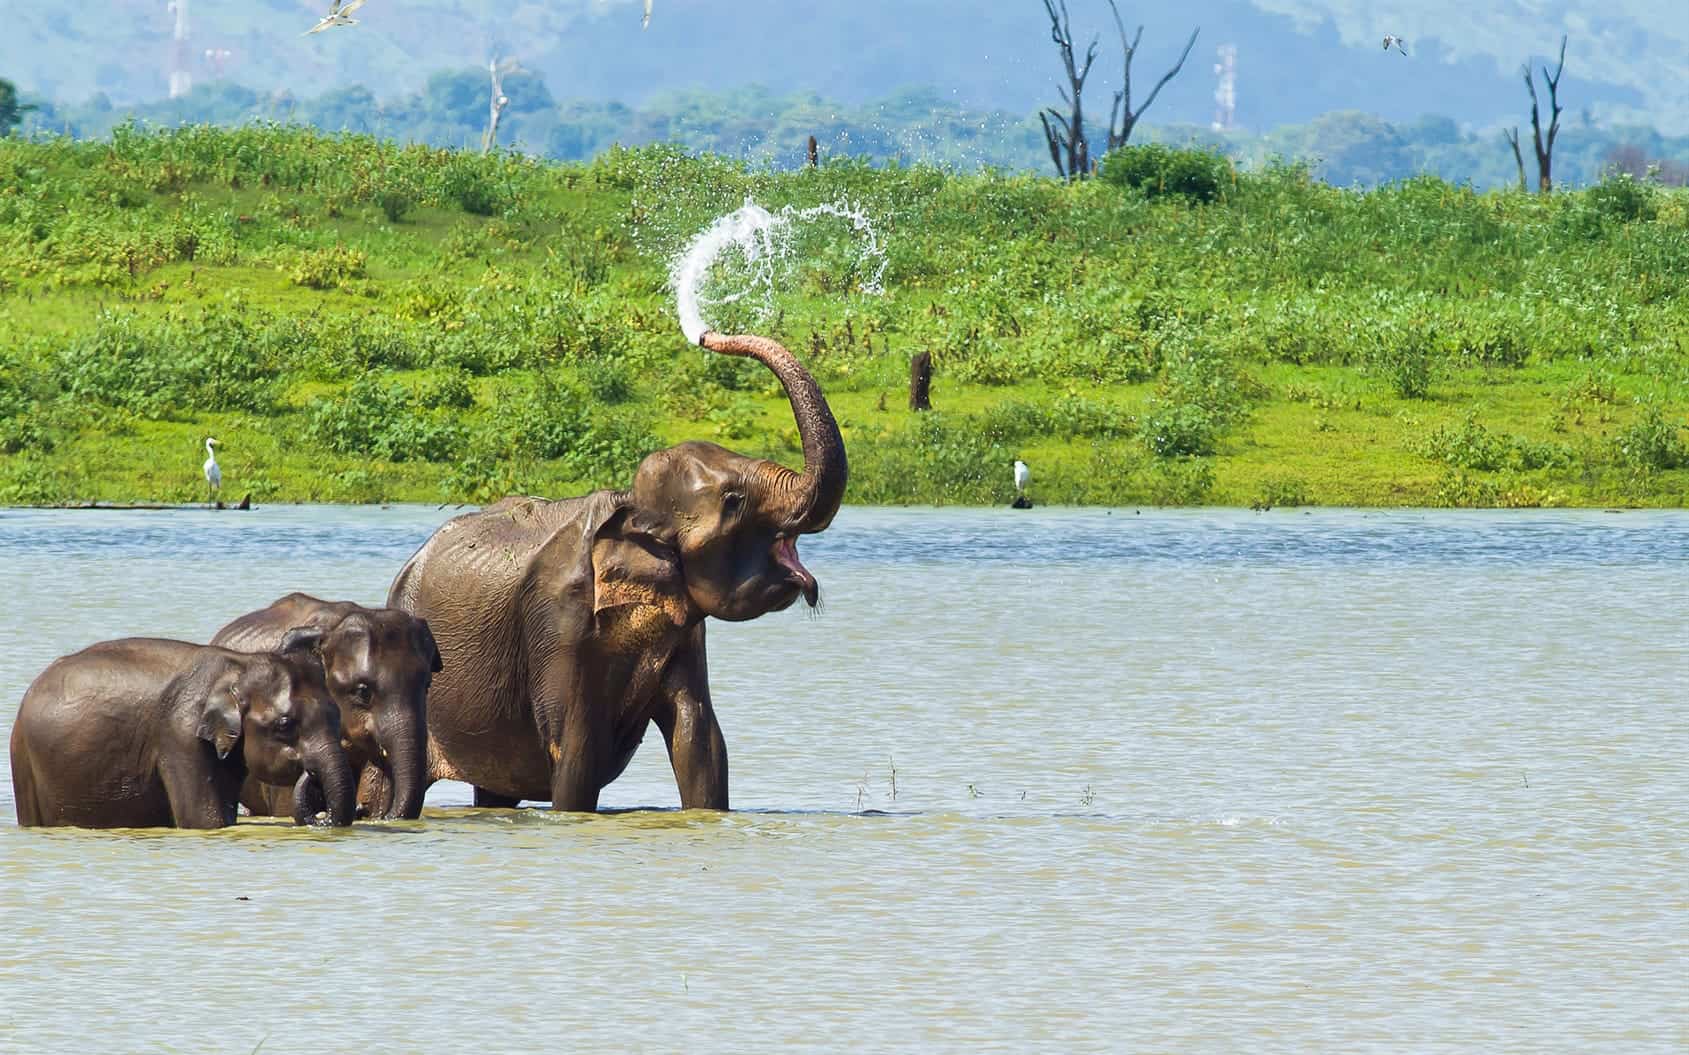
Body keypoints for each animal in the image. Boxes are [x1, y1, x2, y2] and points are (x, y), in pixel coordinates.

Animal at [10, 638, 356, 827]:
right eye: (284, 725)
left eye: (337, 717)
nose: (310, 773)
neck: (239, 666)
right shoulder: (180, 734)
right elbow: (203, 820)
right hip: (24, 761)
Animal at [391, 332, 844, 810]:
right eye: (734, 500)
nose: (705, 335)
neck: (630, 503)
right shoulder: (557, 623)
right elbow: (576, 752)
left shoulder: (684, 628)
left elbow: (698, 738)